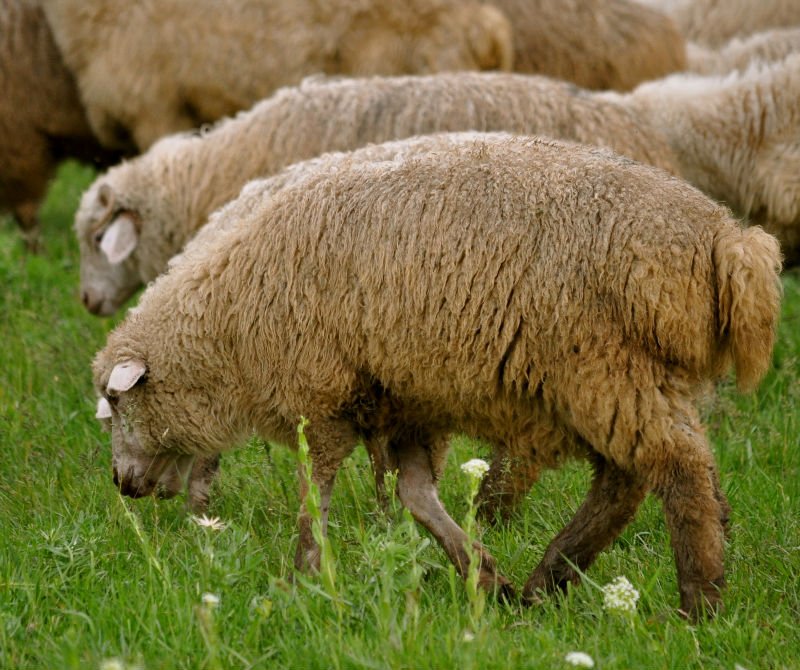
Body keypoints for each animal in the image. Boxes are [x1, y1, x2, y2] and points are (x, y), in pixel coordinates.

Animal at [92, 132, 782, 619]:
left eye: (115, 404)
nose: (123, 485)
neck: (230, 322)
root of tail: (727, 239)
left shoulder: (323, 396)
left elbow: (317, 494)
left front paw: (302, 578)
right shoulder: (404, 401)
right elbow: (416, 497)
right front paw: (482, 575)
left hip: (600, 366)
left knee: (679, 473)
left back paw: (697, 604)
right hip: (626, 378)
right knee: (626, 481)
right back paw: (548, 580)